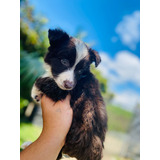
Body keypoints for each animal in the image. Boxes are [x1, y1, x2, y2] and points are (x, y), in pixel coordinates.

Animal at [31, 28, 107, 160]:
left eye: (80, 70)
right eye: (64, 61)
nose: (69, 85)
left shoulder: (60, 91)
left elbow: (42, 80)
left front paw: (35, 92)